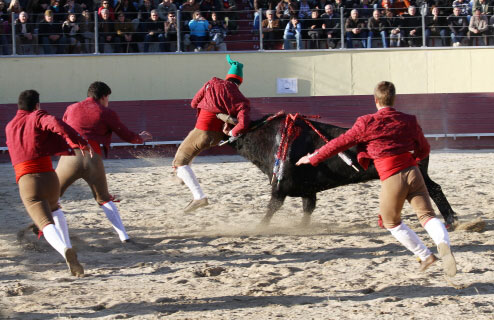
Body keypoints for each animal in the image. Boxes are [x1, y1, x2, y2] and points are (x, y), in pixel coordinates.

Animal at [223, 112, 456, 228]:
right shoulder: (308, 191)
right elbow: (307, 209)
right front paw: (302, 227)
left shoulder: (279, 188)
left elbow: (272, 207)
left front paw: (260, 227)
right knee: (434, 188)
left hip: (417, 174)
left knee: (434, 189)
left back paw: (450, 219)